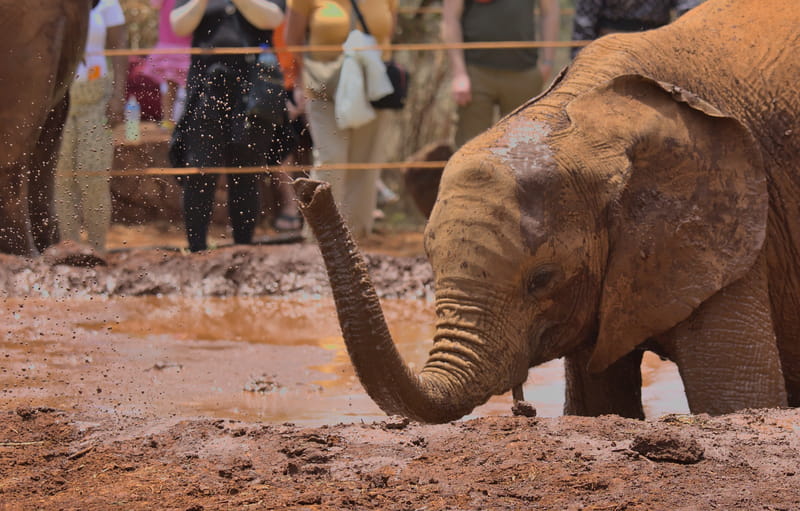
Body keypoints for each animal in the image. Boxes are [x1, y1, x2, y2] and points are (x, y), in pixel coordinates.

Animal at [293, 0, 800, 424]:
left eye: (542, 279)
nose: (309, 188)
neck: (588, 115)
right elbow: (597, 406)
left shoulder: (729, 229)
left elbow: (736, 398)